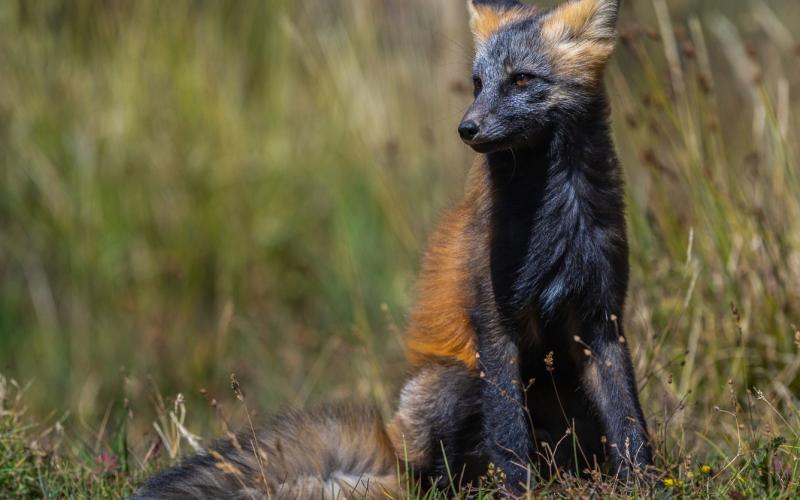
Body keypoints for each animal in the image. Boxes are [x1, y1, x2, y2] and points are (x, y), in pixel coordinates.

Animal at [134, 0, 651, 497]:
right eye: (478, 84)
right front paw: (522, 492)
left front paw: (643, 481)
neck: (558, 217)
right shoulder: (494, 323)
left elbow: (629, 419)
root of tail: (393, 448)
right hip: (457, 383)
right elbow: (509, 436)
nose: (466, 128)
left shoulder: (602, 318)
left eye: (521, 78)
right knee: (434, 476)